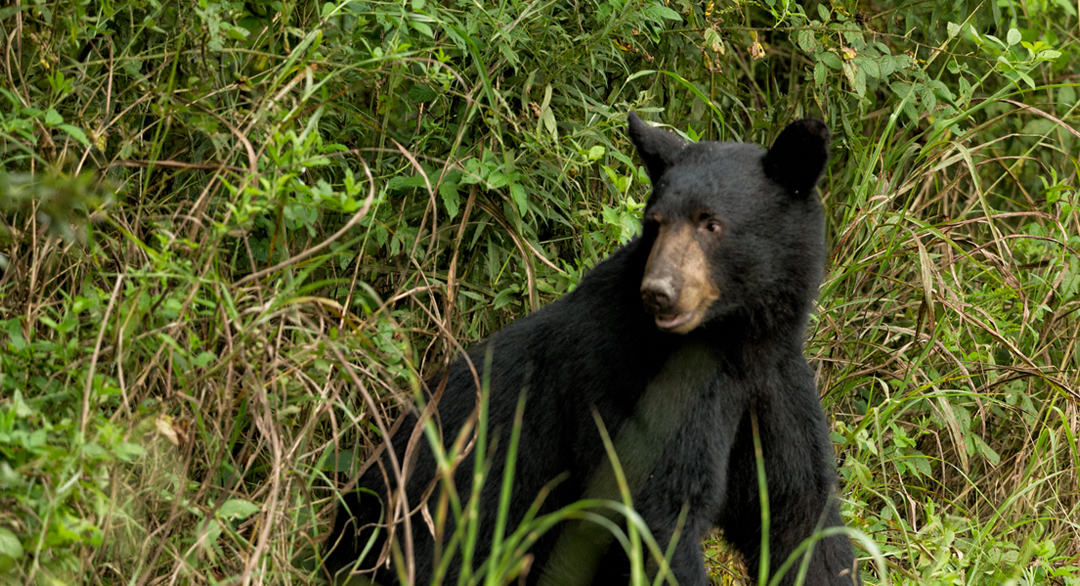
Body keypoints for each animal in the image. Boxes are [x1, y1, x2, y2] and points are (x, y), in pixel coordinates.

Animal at [323, 113, 859, 586]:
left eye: (711, 224)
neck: (732, 341)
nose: (659, 292)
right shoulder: (636, 387)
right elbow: (652, 513)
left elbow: (801, 511)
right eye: (655, 222)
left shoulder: (775, 387)